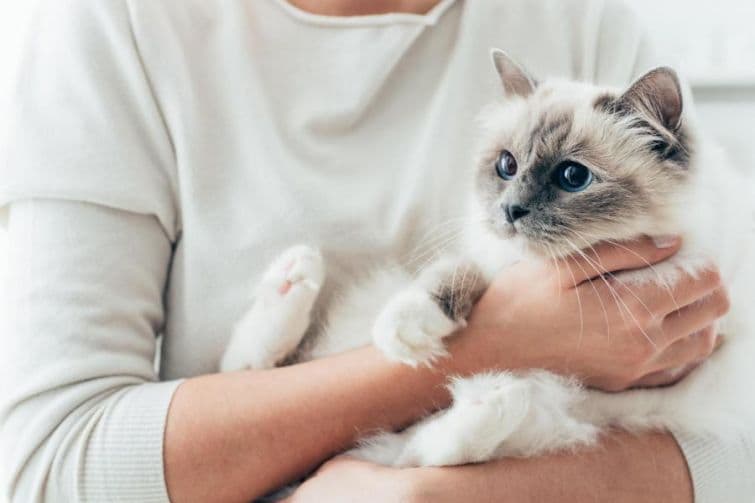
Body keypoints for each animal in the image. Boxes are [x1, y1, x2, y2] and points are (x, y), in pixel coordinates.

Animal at [220, 50, 755, 468]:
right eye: (506, 166)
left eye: (573, 177)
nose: (510, 210)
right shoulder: (491, 258)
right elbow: (451, 275)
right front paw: (408, 330)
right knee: (249, 368)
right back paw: (296, 274)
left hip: (572, 414)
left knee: (434, 447)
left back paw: (494, 396)